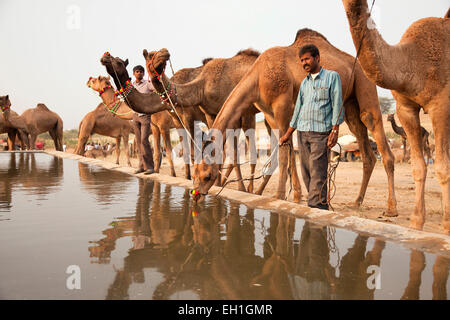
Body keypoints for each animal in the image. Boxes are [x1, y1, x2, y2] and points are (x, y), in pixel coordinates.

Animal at [188, 28, 396, 216]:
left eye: (207, 175)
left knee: (372, 122)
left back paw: (391, 209)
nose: (195, 195)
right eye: (194, 174)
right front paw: (295, 196)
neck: (257, 78)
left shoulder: (283, 105)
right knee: (365, 147)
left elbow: (283, 152)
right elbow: (288, 148)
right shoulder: (271, 113)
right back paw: (357, 201)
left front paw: (279, 196)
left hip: (365, 83)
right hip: (350, 104)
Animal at [342, 0, 448, 234]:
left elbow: (443, 167)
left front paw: (446, 225)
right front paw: (416, 221)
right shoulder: (405, 107)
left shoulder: (441, 105)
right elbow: (418, 166)